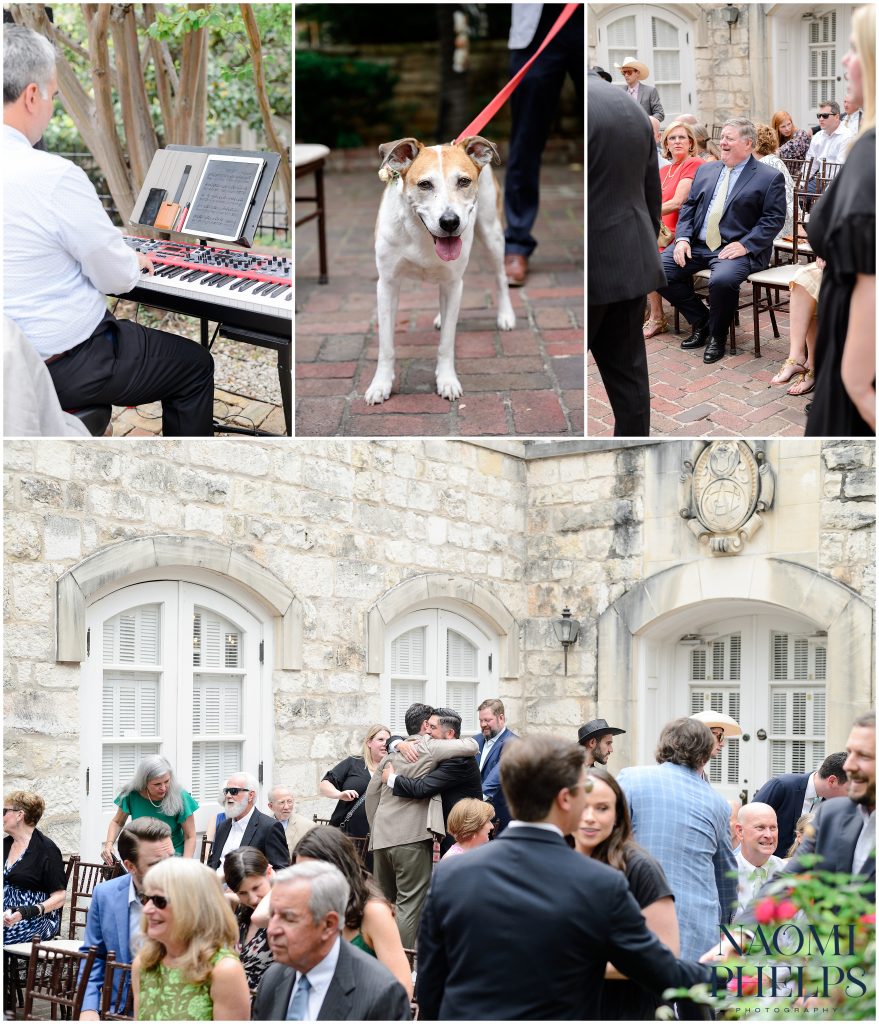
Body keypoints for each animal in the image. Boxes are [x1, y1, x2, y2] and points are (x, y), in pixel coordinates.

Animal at [362, 135, 514, 403]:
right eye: (425, 184)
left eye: (463, 181)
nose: (450, 222)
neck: (421, 234)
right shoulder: (387, 284)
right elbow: (386, 345)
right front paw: (381, 384)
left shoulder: (454, 283)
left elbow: (446, 343)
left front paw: (447, 381)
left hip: (492, 234)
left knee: (500, 276)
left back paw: (505, 315)